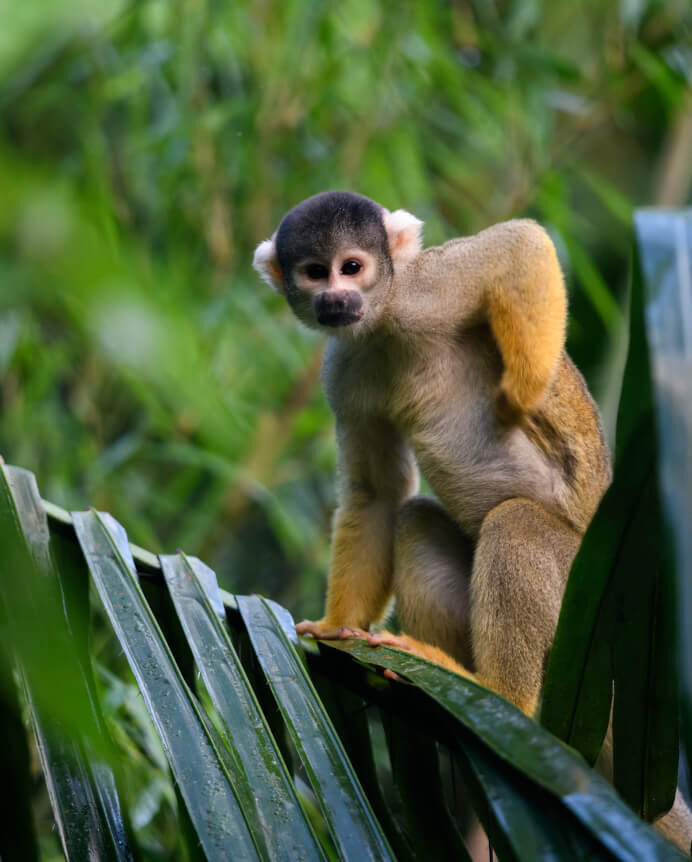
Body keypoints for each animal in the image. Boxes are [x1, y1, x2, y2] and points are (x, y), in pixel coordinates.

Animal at [253, 191, 690, 850]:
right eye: (313, 273)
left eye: (352, 267)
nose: (335, 299)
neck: (382, 321)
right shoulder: (343, 365)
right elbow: (377, 494)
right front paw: (336, 625)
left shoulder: (425, 288)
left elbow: (520, 244)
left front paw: (525, 391)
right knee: (415, 521)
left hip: (593, 610)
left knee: (515, 524)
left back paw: (495, 695)